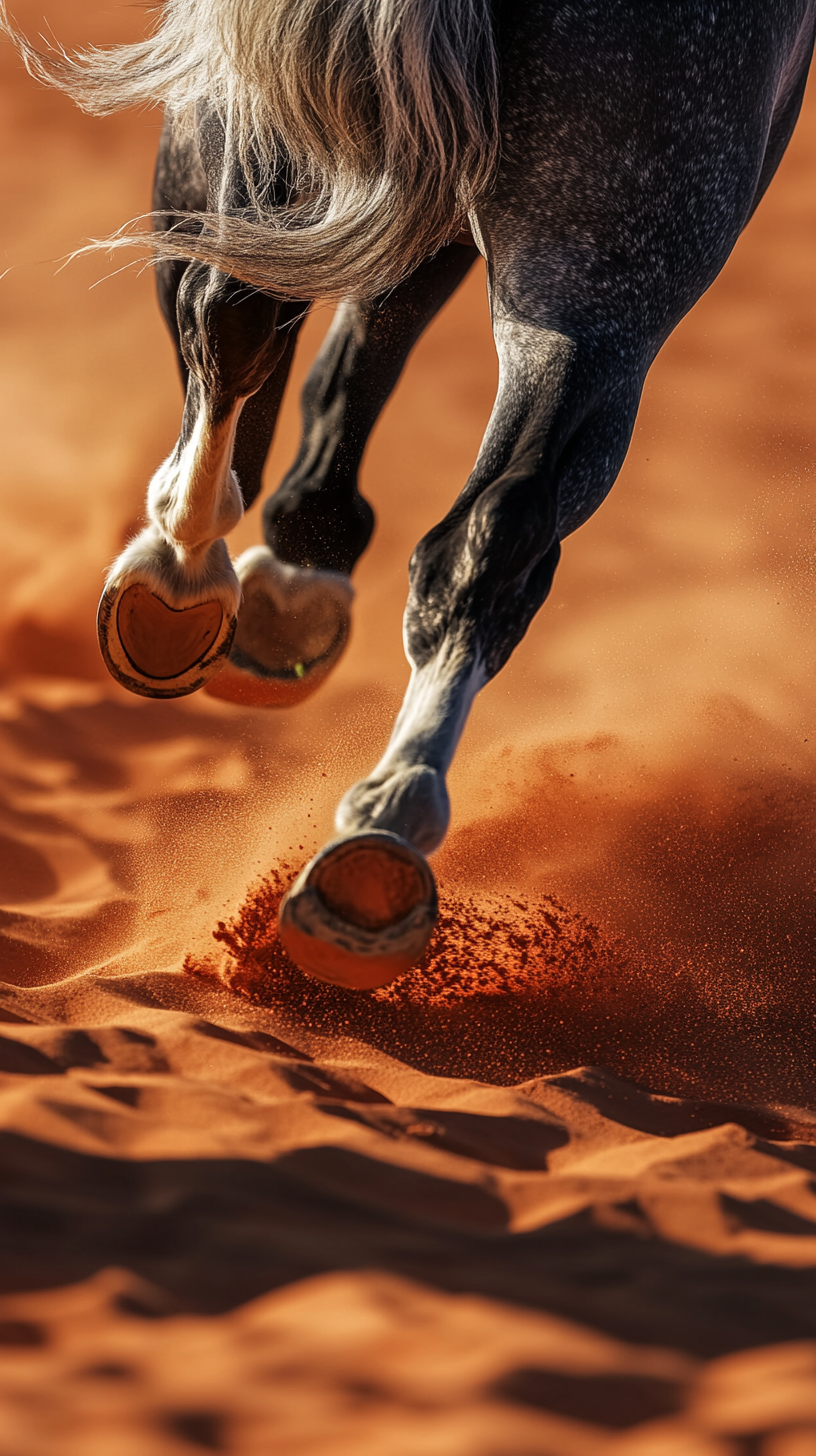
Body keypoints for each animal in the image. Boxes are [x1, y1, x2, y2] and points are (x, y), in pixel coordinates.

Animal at [7, 0, 816, 990]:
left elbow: (310, 324)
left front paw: (275, 578)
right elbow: (360, 328)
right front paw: (293, 574)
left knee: (231, 309)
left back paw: (187, 591)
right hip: (615, 262)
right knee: (494, 523)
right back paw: (378, 844)